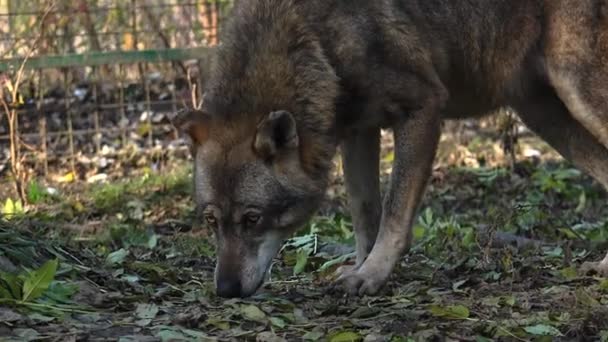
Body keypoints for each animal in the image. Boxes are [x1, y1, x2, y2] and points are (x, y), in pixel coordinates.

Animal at [171, 0, 608, 298]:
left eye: (253, 219)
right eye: (211, 222)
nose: (225, 290)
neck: (313, 38)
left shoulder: (422, 109)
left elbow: (395, 213)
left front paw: (373, 274)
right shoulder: (358, 132)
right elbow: (365, 212)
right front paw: (360, 266)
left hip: (577, 93)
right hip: (545, 116)